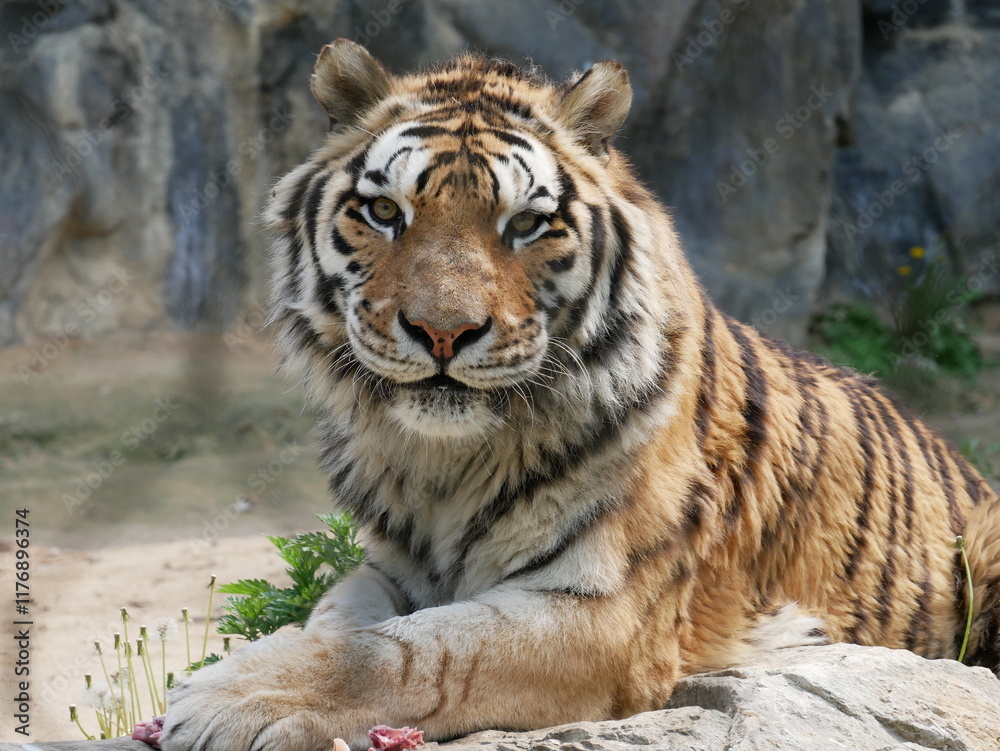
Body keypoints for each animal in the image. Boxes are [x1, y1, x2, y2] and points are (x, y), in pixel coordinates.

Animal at [161, 40, 1000, 751]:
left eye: (527, 224)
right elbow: (334, 622)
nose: (442, 332)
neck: (443, 464)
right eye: (385, 212)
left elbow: (410, 651)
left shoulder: (603, 615)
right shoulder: (387, 567)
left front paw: (220, 697)